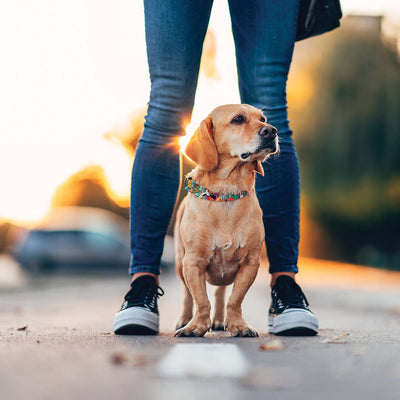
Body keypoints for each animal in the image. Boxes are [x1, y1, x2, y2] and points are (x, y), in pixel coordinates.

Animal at [173, 104, 280, 336]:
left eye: (262, 118)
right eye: (238, 119)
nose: (272, 131)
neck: (227, 193)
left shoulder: (250, 262)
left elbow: (234, 299)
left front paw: (238, 325)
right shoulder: (192, 262)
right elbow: (200, 300)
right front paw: (196, 326)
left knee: (221, 293)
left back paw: (219, 321)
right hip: (179, 263)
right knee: (187, 295)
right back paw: (184, 319)